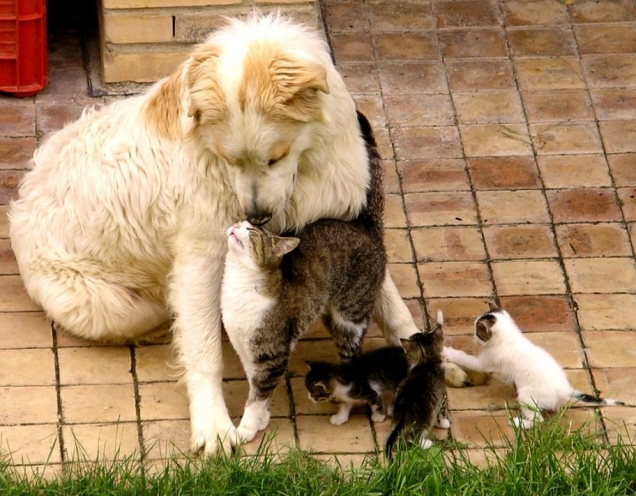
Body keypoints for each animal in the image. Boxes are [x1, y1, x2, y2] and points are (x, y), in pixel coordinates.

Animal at [8, 12, 422, 454]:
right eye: (230, 159)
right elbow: (204, 349)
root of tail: (22, 197)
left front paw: (426, 353)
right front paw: (213, 426)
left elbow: (392, 302)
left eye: (274, 158)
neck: (303, 175)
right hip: (110, 307)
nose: (255, 217)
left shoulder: (349, 225)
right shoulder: (201, 259)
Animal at [442, 300, 620, 428]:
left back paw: (518, 423)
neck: (509, 337)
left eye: (477, 332)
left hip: (526, 396)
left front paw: (449, 352)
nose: (472, 336)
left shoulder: (485, 362)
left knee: (537, 420)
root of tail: (564, 390)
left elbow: (466, 358)